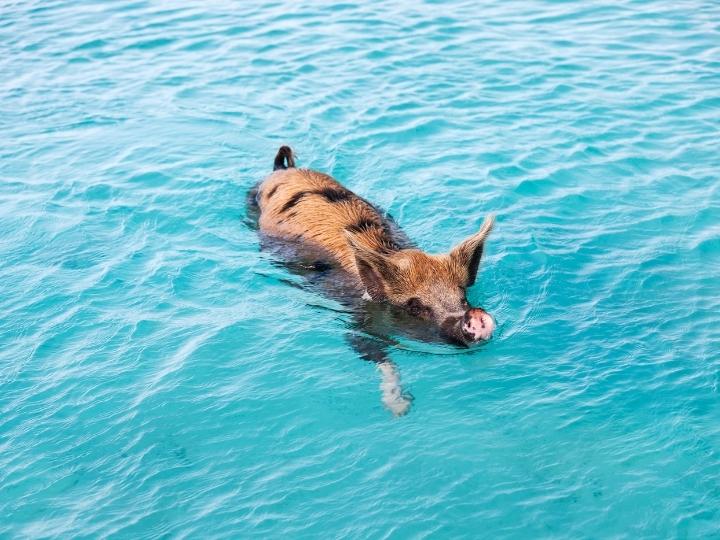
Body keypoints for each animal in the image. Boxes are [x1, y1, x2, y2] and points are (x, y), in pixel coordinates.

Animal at [250, 145, 496, 415]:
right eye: (414, 306)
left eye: (463, 296)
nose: (474, 316)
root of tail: (285, 169)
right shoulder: (357, 318)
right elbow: (369, 351)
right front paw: (401, 407)